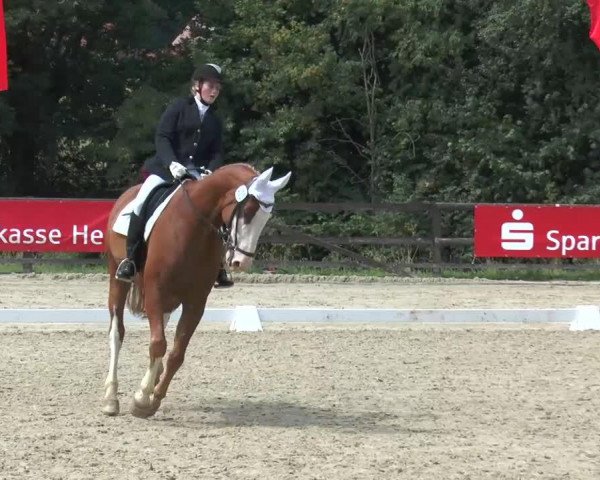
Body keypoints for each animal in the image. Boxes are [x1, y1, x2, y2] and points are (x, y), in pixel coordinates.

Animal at [102, 163, 292, 418]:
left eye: (266, 216)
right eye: (249, 209)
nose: (241, 262)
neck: (193, 226)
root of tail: (127, 194)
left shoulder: (196, 303)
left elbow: (176, 354)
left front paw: (153, 398)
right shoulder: (155, 292)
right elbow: (159, 344)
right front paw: (141, 400)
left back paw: (152, 378)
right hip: (118, 276)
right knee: (117, 332)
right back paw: (110, 399)